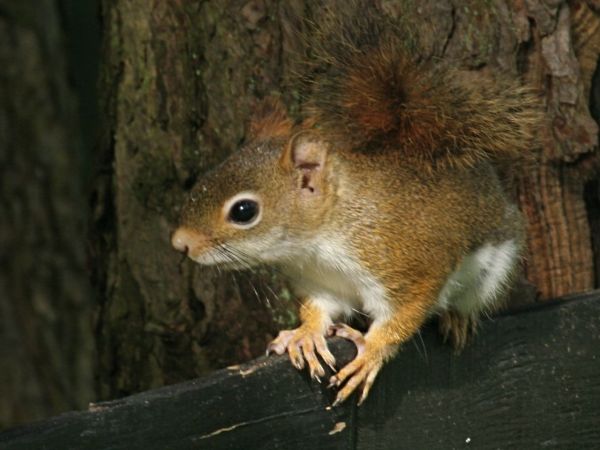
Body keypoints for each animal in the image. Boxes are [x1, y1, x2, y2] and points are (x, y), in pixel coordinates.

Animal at [169, 2, 540, 404]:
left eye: (243, 211)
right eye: (206, 177)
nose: (180, 243)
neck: (322, 239)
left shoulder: (409, 264)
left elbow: (404, 314)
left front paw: (371, 352)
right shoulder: (322, 283)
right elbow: (320, 308)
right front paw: (306, 334)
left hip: (494, 272)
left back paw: (457, 318)